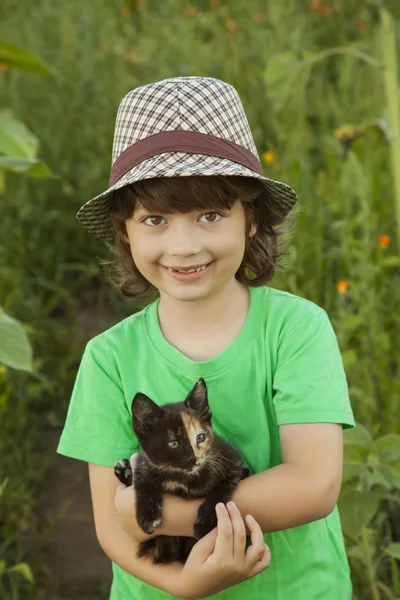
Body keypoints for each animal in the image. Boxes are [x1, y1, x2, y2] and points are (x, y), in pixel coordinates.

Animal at [114, 378, 248, 564]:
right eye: (173, 443)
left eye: (200, 437)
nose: (194, 458)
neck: (182, 475)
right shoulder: (144, 461)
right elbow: (143, 481)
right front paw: (147, 515)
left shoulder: (231, 458)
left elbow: (222, 490)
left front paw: (204, 522)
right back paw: (124, 471)